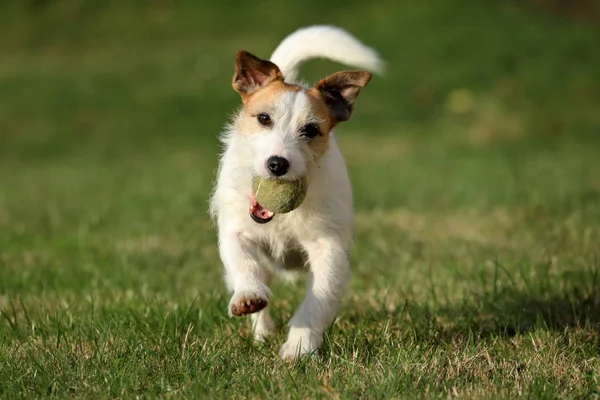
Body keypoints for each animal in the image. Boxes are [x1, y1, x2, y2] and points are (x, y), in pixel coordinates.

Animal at [209, 26, 382, 360]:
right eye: (264, 118)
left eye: (311, 130)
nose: (277, 164)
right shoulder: (236, 230)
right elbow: (242, 261)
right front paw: (248, 295)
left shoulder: (328, 248)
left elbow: (318, 299)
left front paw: (300, 346)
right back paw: (261, 331)